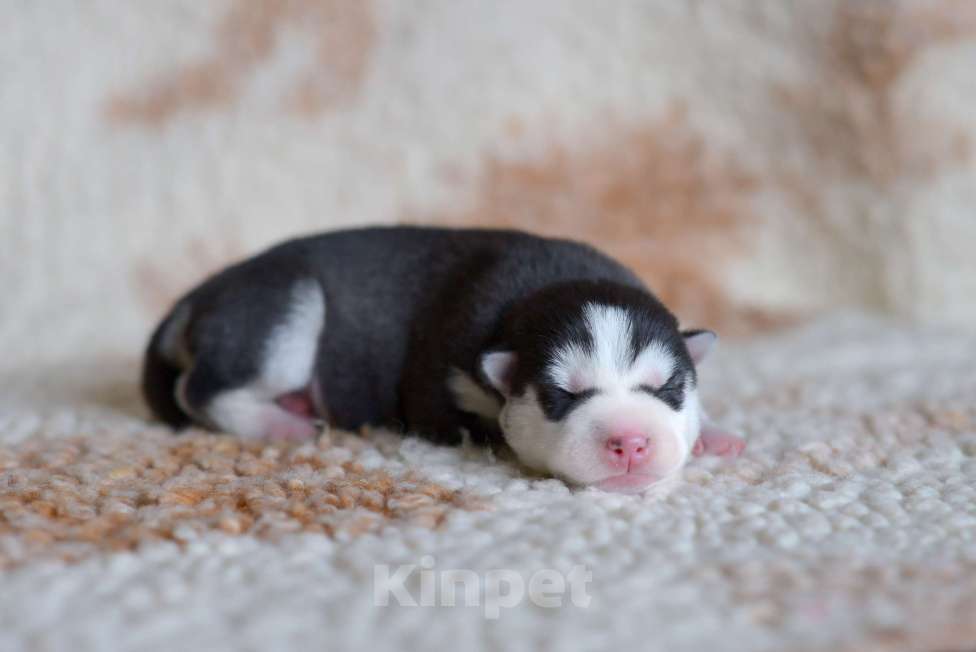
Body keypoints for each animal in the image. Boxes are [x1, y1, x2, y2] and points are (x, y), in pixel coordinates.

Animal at [141, 227, 744, 492]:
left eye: (668, 388)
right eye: (561, 397)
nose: (630, 442)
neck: (552, 284)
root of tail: (199, 295)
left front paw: (713, 432)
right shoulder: (443, 379)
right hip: (280, 310)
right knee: (199, 390)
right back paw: (280, 424)